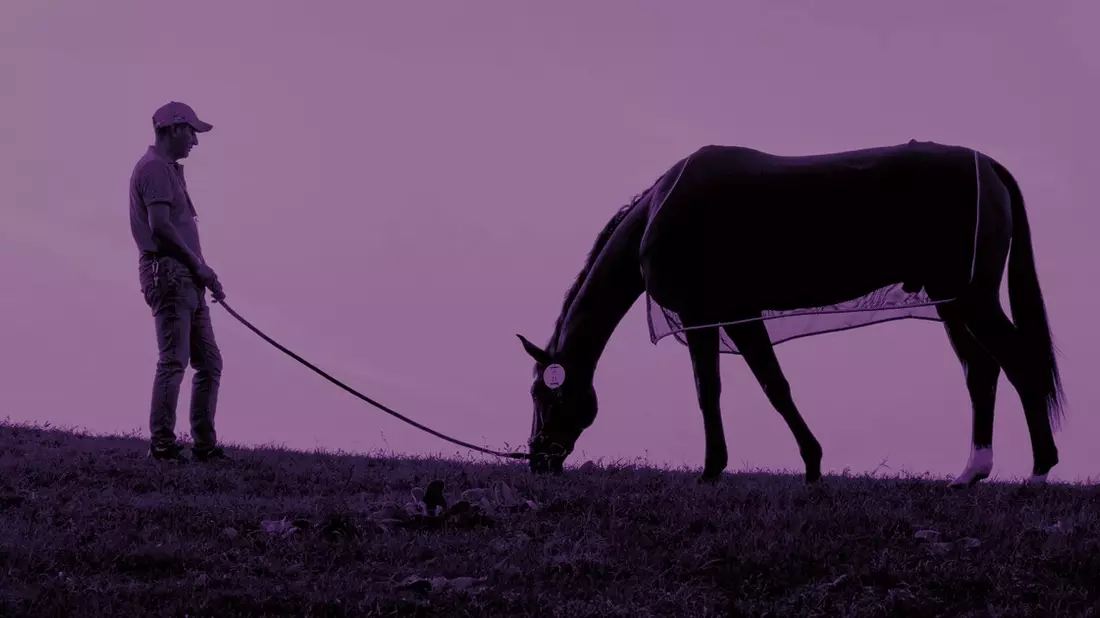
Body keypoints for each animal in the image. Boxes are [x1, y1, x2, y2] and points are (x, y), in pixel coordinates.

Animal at [517, 140, 1065, 486]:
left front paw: (713, 469)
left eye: (543, 394)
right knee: (982, 372)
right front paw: (812, 464)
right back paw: (971, 473)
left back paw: (1040, 470)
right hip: (952, 303)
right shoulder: (736, 315)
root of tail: (988, 165)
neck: (661, 209)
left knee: (1018, 363)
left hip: (971, 298)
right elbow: (772, 384)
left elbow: (714, 390)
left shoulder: (704, 315)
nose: (537, 458)